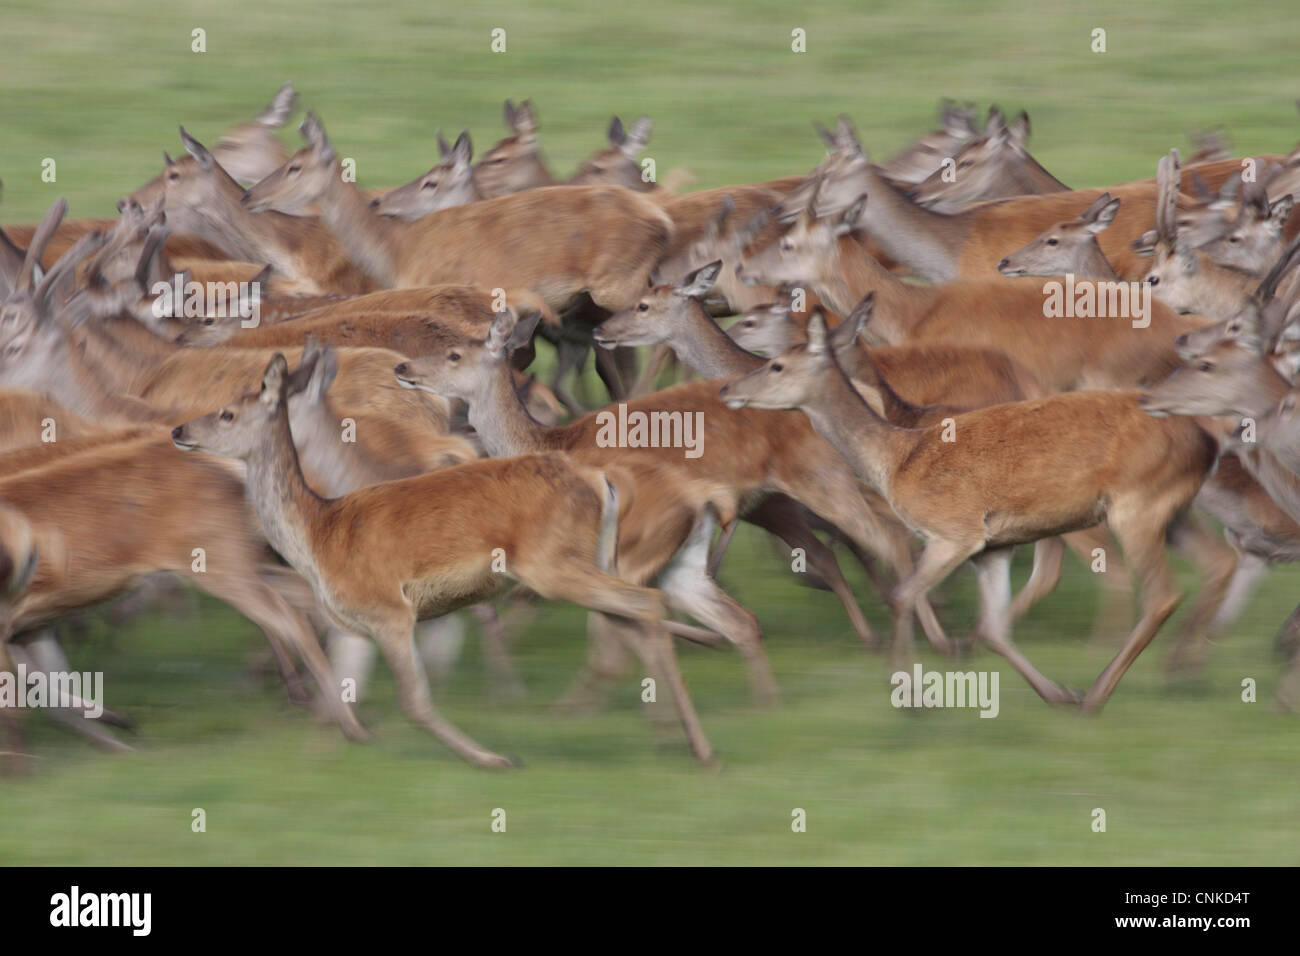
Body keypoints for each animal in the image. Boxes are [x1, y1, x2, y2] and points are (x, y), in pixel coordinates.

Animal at [173, 350, 718, 767]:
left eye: (226, 413)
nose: (179, 429)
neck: (317, 536)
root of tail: (601, 481)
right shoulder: (351, 623)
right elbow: (339, 697)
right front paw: (321, 759)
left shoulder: (389, 608)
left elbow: (414, 700)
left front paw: (494, 759)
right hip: (591, 561)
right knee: (631, 623)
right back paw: (671, 737)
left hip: (554, 565)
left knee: (645, 605)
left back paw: (698, 747)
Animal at [719, 304, 1221, 713]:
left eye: (776, 364)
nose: (727, 388)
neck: (896, 460)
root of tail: (1207, 443)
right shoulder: (992, 547)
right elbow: (991, 630)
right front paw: (1055, 692)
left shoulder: (954, 531)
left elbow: (903, 594)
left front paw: (909, 695)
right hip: (1174, 511)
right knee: (1210, 564)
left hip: (1136, 506)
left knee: (1161, 593)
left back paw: (1099, 692)